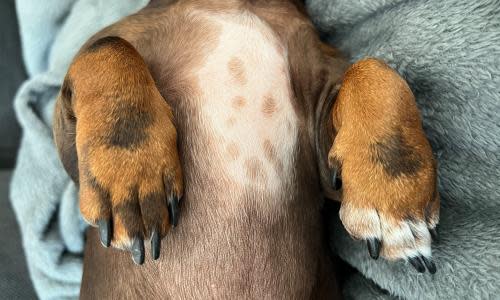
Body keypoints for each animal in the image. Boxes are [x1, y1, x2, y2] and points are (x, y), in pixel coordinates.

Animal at [52, 0, 440, 298]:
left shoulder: (322, 156)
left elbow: (372, 68)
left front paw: (392, 193)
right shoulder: (70, 151)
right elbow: (107, 45)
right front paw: (131, 172)